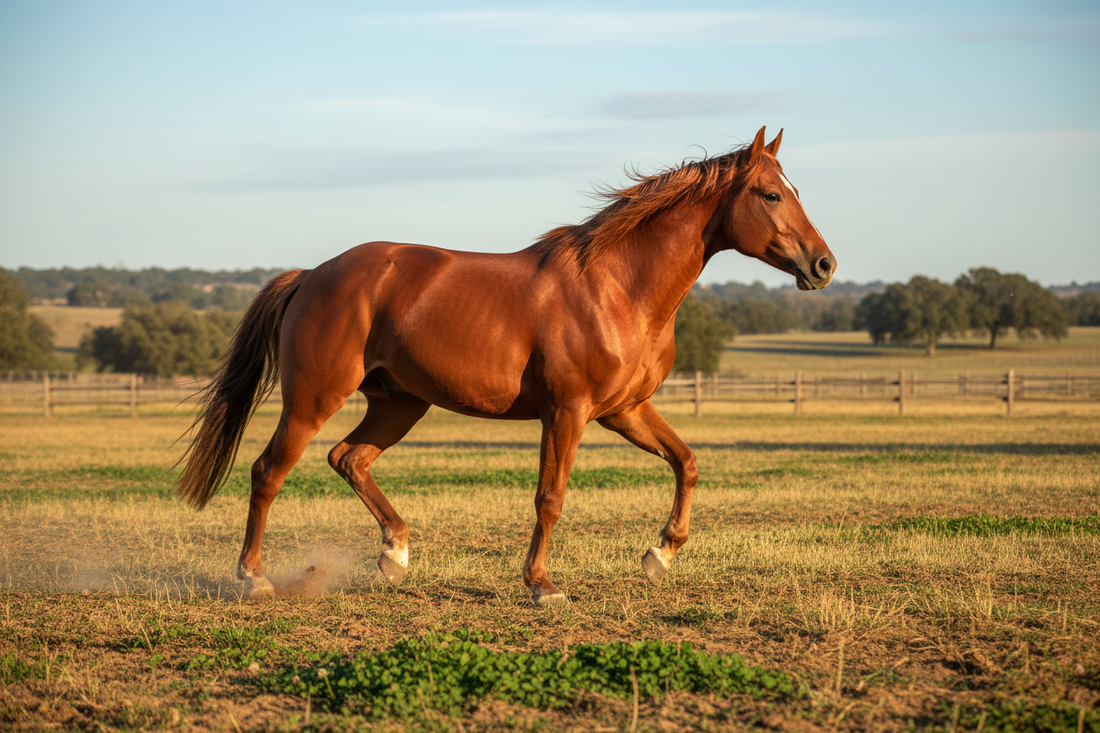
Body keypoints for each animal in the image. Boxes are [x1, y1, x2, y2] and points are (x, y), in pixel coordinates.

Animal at [177, 126, 835, 606]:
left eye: (798, 190)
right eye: (771, 194)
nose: (823, 265)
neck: (618, 289)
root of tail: (312, 275)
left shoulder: (624, 411)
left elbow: (688, 462)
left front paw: (659, 556)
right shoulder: (567, 412)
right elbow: (551, 496)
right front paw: (542, 586)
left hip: (398, 402)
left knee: (349, 459)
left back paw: (395, 555)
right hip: (314, 399)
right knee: (268, 471)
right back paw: (255, 578)